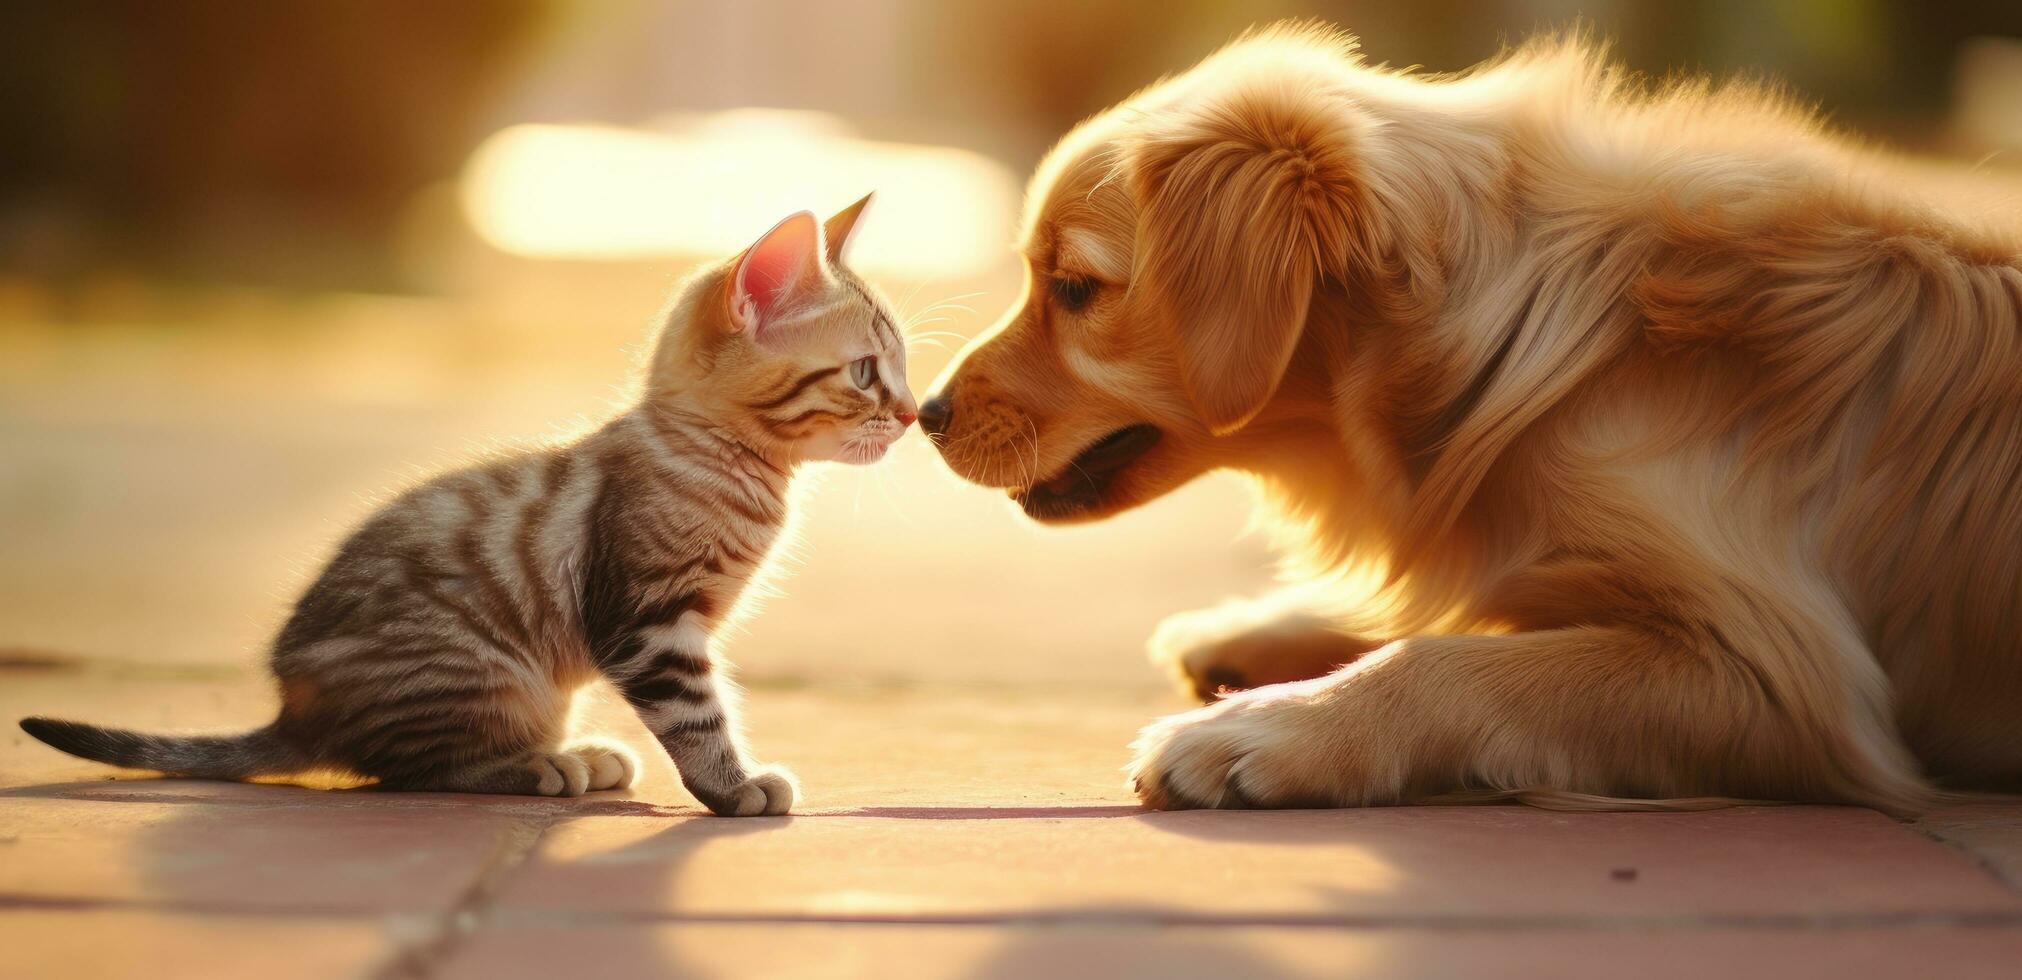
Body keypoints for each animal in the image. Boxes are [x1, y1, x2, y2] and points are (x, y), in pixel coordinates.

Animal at [13, 199, 917, 816]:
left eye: (900, 372)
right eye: (867, 372)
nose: (912, 414)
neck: (728, 463)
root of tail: (293, 709)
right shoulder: (651, 625)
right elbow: (697, 719)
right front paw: (735, 788)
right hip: (479, 665)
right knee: (404, 770)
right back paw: (542, 766)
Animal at [926, 24, 2022, 816]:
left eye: (1075, 288)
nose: (927, 412)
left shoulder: (1777, 671)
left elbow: (1450, 655)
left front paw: (1261, 731)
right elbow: (1464, 606)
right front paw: (1267, 628)